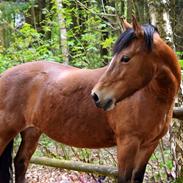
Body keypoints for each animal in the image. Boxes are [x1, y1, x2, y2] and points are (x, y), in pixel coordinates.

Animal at [0, 17, 180, 183]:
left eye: (125, 58)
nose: (96, 95)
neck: (152, 96)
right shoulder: (127, 144)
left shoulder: (149, 146)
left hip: (31, 132)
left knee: (21, 162)